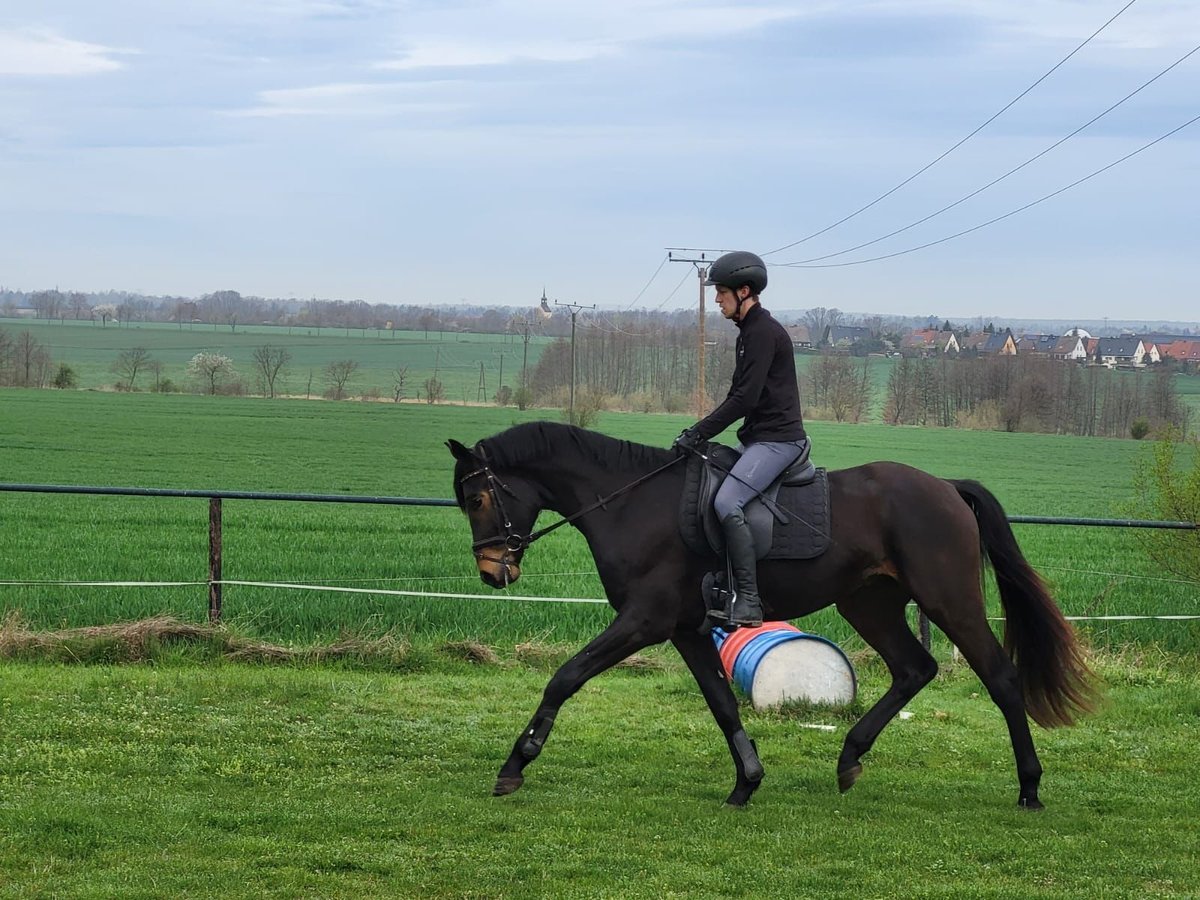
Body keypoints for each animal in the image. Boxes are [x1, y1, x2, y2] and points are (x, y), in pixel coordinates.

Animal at [446, 422, 1094, 811]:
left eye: (477, 498)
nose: (492, 572)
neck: (631, 502)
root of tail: (946, 488)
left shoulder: (644, 621)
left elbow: (565, 678)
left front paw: (516, 763)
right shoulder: (685, 629)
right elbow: (722, 703)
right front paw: (747, 781)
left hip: (949, 601)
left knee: (1000, 678)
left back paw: (1030, 787)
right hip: (868, 603)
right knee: (914, 669)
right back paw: (849, 760)